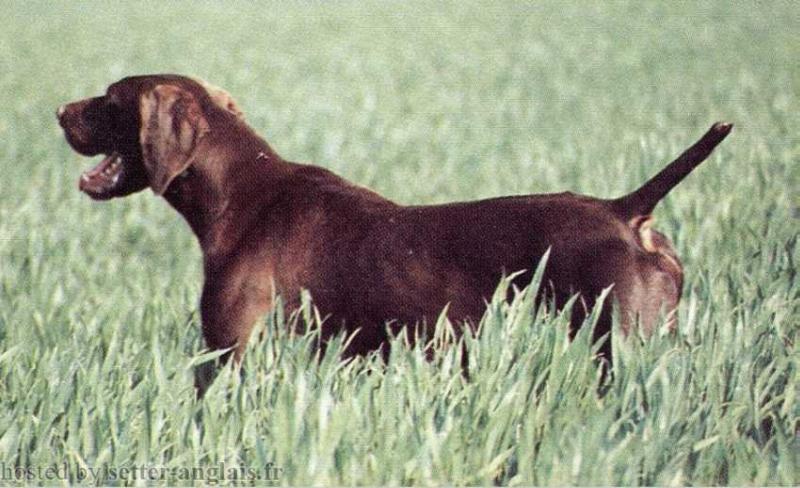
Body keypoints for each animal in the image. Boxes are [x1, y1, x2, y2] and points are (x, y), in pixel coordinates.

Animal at [56, 75, 732, 386]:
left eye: (111, 98)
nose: (58, 109)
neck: (240, 192)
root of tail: (625, 211)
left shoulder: (229, 352)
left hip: (619, 347)